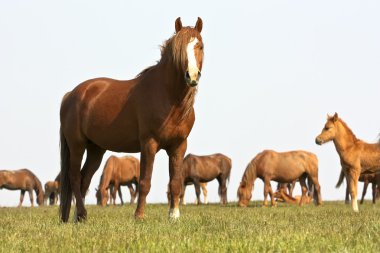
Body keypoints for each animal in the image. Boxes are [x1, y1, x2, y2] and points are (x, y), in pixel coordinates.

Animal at [58, 16, 205, 221]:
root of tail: (71, 94)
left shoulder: (179, 146)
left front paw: (174, 216)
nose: (191, 76)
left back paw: (80, 217)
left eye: (200, 46)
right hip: (77, 144)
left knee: (84, 179)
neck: (169, 98)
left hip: (96, 149)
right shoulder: (149, 144)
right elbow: (145, 182)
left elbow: (175, 182)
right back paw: (80, 214)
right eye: (179, 49)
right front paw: (139, 216)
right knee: (74, 177)